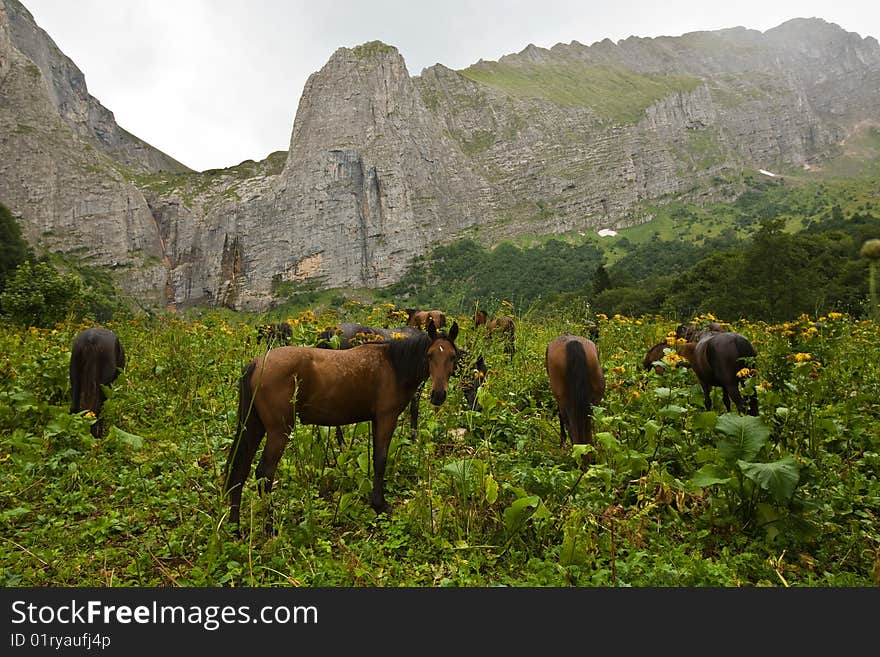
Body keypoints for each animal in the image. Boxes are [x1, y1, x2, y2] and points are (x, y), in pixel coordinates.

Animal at [223, 320, 460, 532]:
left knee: (240, 470)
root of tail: (257, 364)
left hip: (254, 425)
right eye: (430, 355)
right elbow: (380, 460)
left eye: (452, 356)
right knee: (264, 474)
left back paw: (235, 528)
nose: (439, 395)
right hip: (278, 432)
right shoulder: (386, 417)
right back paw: (271, 527)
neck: (393, 365)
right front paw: (380, 505)